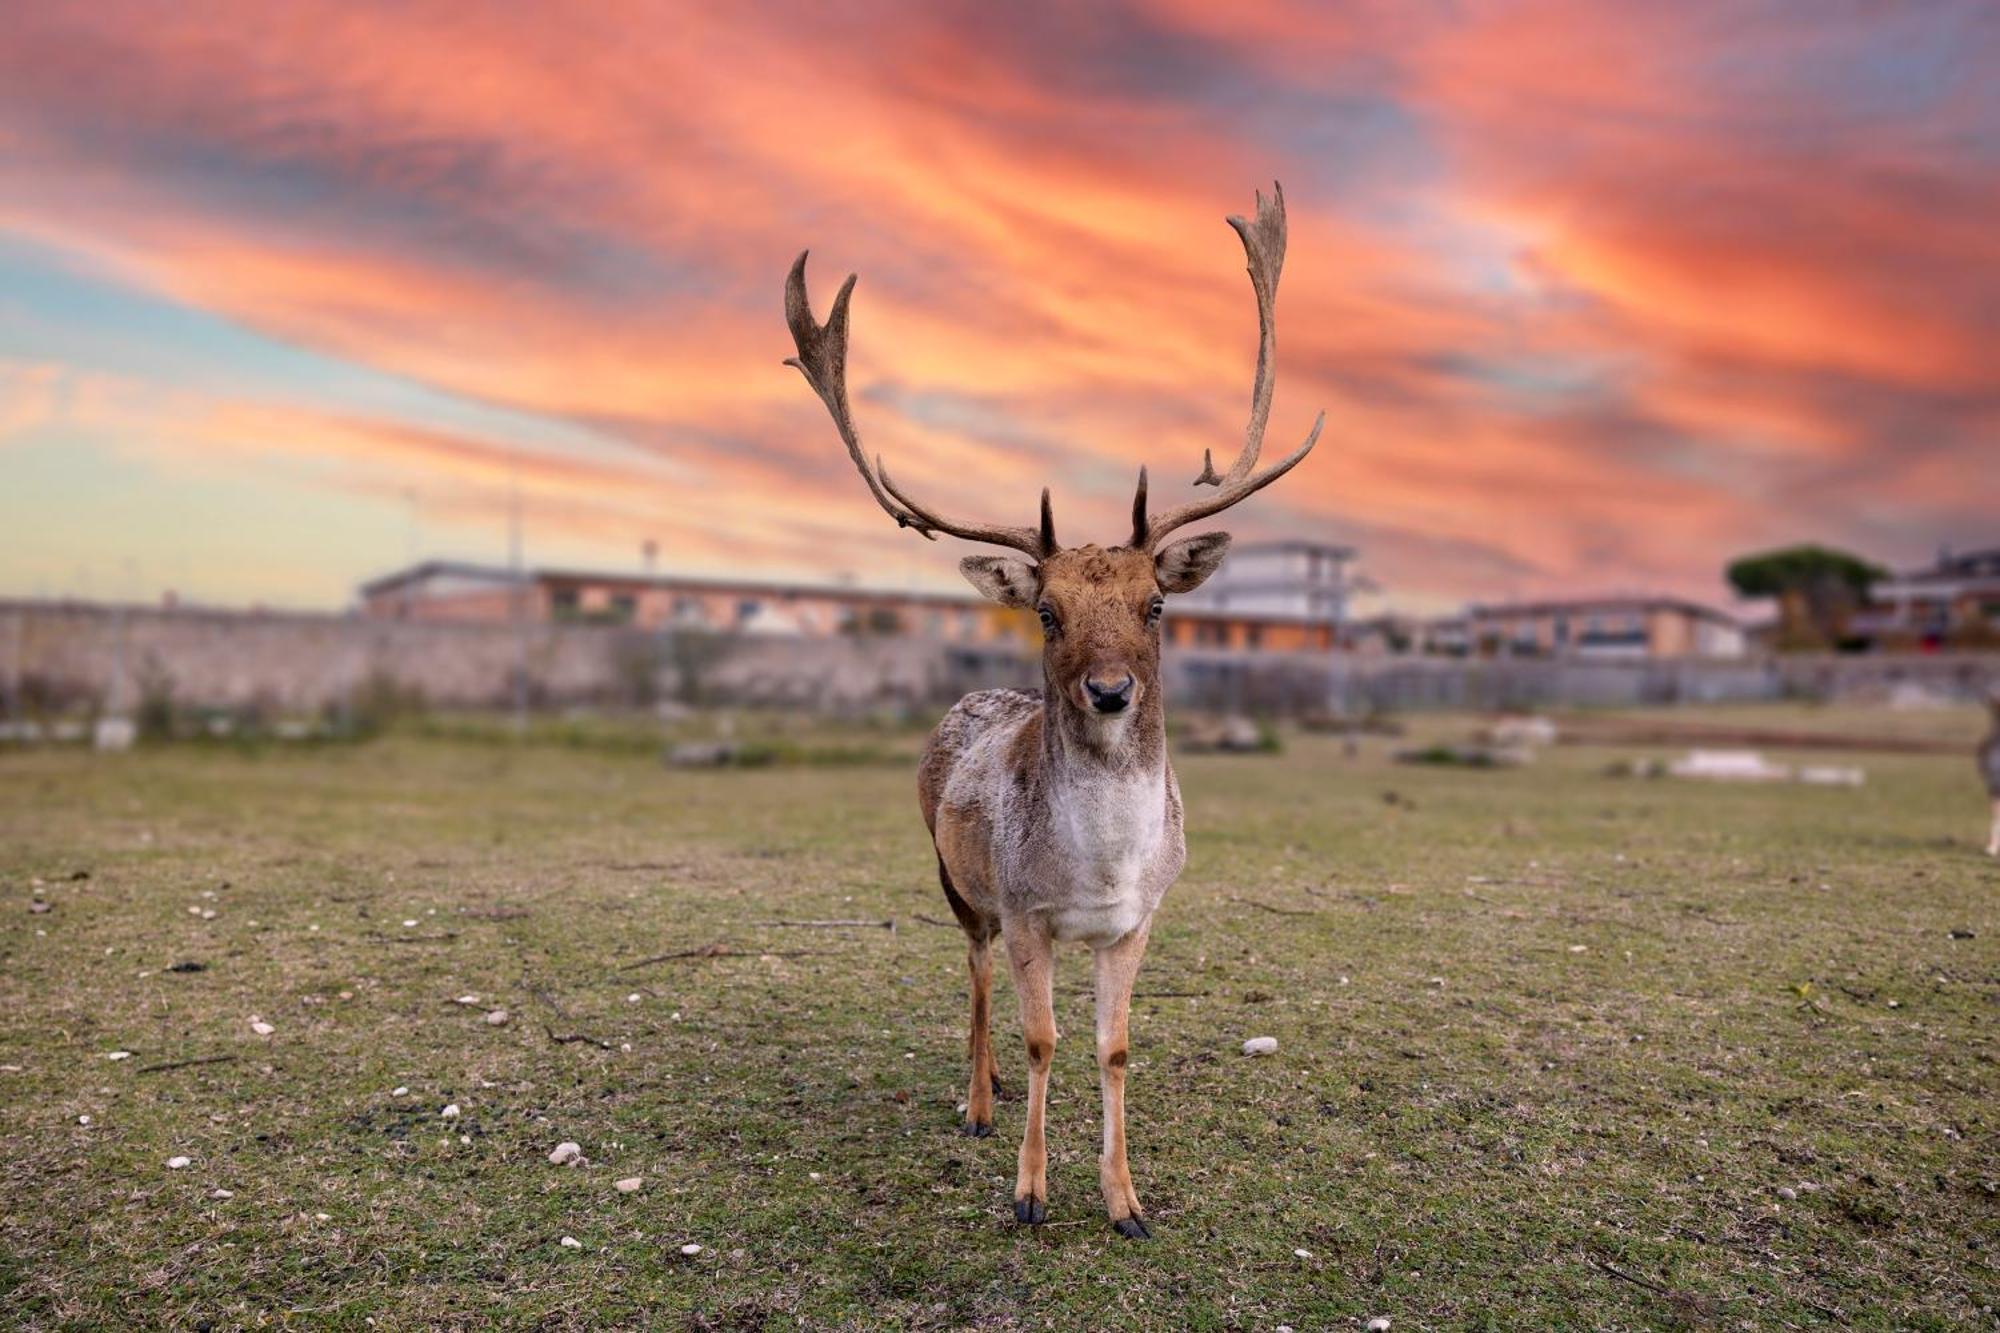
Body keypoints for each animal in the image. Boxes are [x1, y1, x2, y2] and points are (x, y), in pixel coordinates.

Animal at [784, 182, 1328, 1232]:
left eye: (1155, 604)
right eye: (1047, 610)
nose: (1110, 689)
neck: (1102, 865)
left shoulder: (1140, 917)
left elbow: (1113, 1047)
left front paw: (1126, 1200)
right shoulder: (1028, 908)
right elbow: (1042, 1039)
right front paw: (1031, 1191)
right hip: (956, 880)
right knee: (975, 973)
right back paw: (978, 1098)